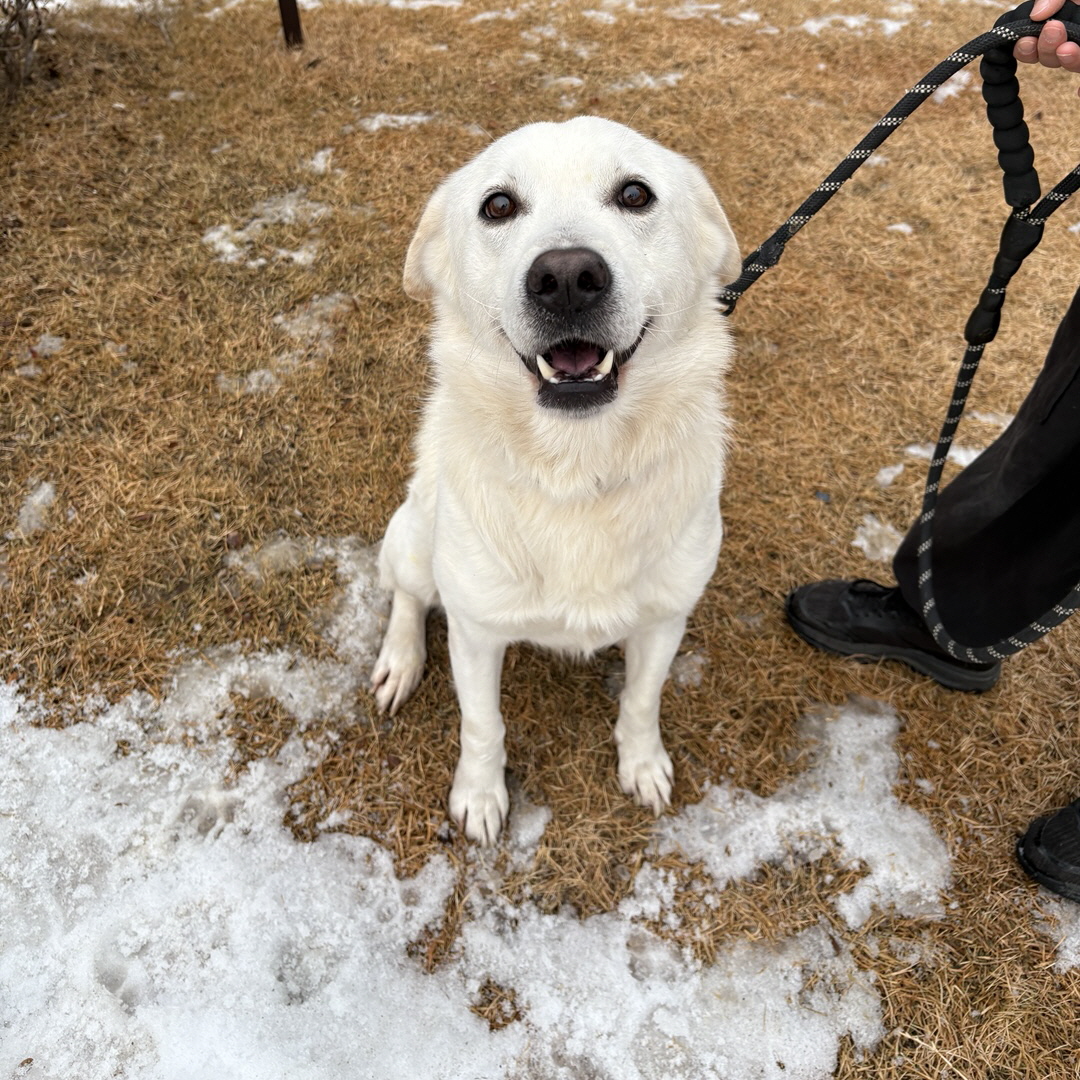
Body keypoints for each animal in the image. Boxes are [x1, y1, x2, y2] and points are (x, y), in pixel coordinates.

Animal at [371, 118, 743, 842]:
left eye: (635, 194)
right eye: (498, 206)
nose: (568, 277)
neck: (577, 470)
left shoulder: (664, 619)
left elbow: (641, 702)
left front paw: (642, 765)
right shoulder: (476, 631)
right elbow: (483, 725)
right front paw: (480, 796)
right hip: (413, 535)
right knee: (406, 595)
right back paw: (401, 661)